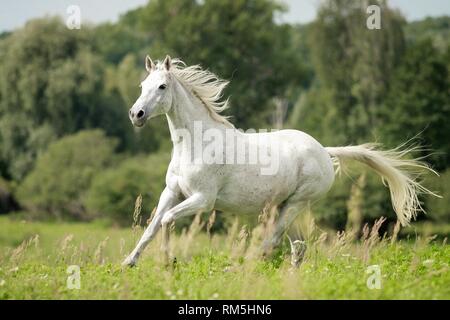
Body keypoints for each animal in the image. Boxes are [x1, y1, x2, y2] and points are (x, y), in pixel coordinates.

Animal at [122, 55, 436, 268]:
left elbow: (167, 221)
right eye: (142, 84)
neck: (196, 145)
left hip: (296, 204)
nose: (136, 115)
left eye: (162, 86)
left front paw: (168, 261)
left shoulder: (203, 199)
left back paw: (239, 268)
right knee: (298, 246)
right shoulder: (172, 192)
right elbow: (152, 225)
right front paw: (129, 262)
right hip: (288, 206)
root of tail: (324, 150)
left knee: (272, 242)